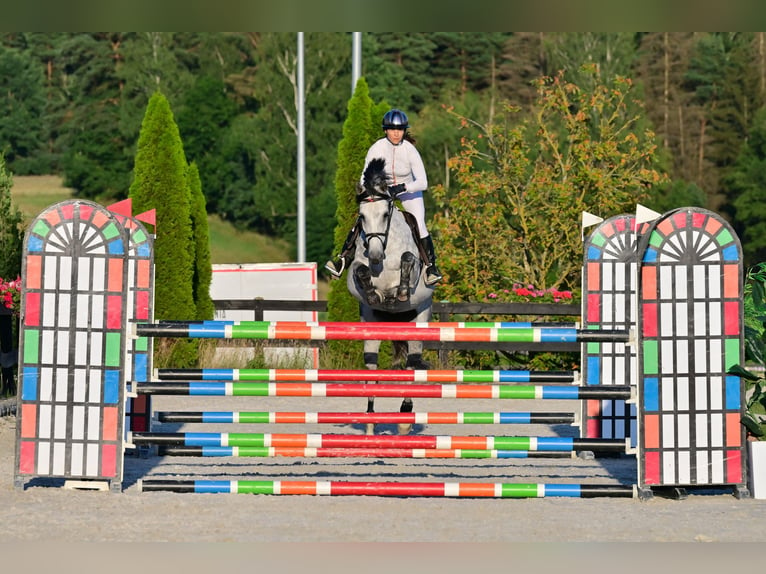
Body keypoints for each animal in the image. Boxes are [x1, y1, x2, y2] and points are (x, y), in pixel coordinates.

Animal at [350, 158, 438, 436]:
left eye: (386, 215)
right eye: (362, 217)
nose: (376, 255)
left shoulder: (413, 271)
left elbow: (408, 259)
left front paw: (398, 293)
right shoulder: (357, 275)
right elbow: (360, 272)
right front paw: (375, 294)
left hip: (417, 325)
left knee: (411, 366)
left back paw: (404, 419)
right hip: (371, 332)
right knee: (371, 372)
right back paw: (370, 422)